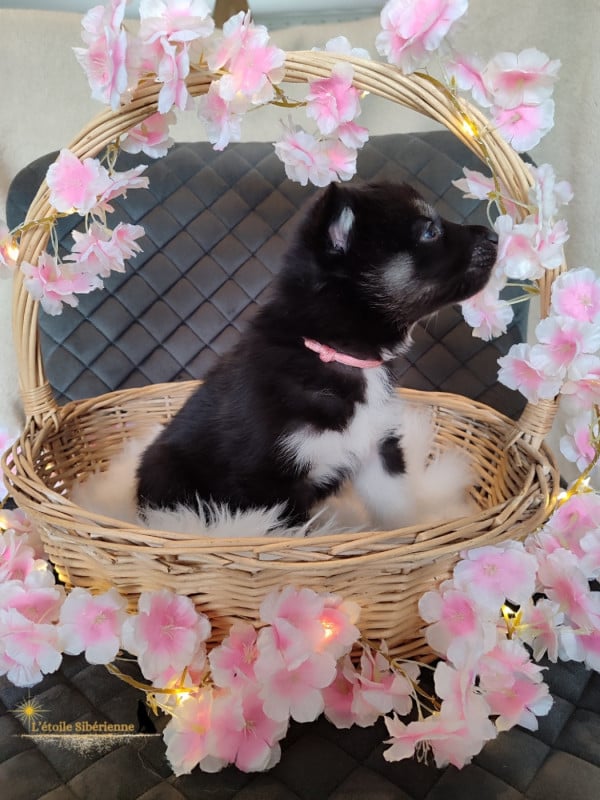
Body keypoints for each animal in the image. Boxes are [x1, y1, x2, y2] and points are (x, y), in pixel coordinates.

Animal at [136, 181, 498, 528]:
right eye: (429, 232)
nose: (495, 235)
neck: (338, 353)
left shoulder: (377, 449)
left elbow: (395, 508)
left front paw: (408, 532)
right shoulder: (269, 483)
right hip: (168, 474)